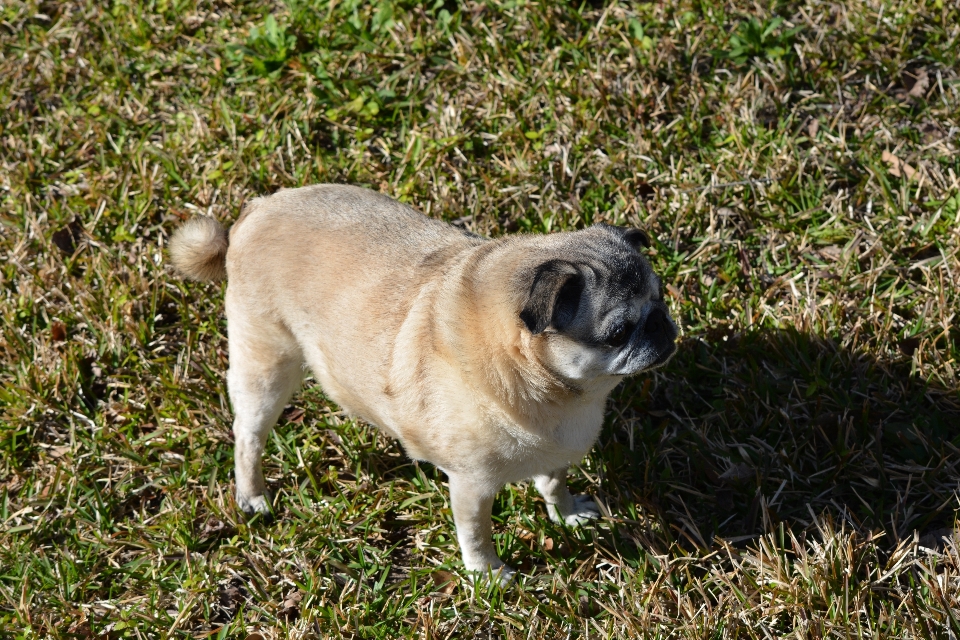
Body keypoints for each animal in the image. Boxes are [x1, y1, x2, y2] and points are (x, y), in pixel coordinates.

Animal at [174, 184, 684, 580]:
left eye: (661, 298)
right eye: (618, 332)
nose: (662, 325)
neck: (554, 391)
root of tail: (253, 214)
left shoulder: (555, 454)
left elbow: (553, 485)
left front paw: (567, 513)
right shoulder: (471, 486)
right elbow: (476, 534)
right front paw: (488, 575)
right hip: (266, 367)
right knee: (248, 437)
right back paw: (252, 495)